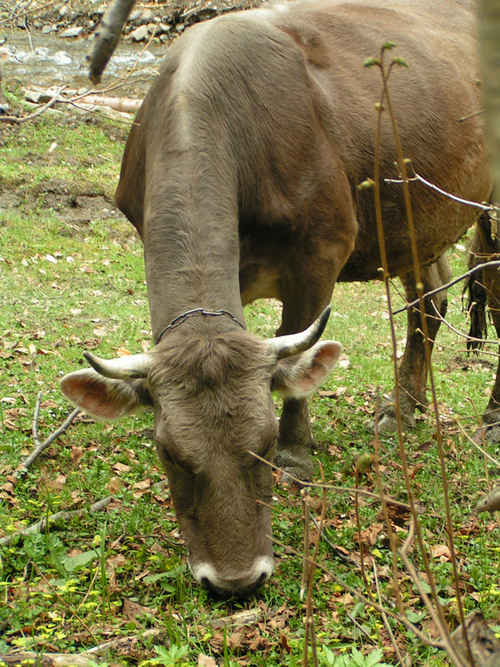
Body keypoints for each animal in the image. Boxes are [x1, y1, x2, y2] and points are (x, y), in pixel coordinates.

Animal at [59, 0, 492, 596]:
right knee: (428, 304)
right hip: (414, 222)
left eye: (261, 444)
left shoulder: (322, 251)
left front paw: (297, 453)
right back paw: (404, 409)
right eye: (169, 452)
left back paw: (490, 417)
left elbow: (297, 358)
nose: (236, 581)